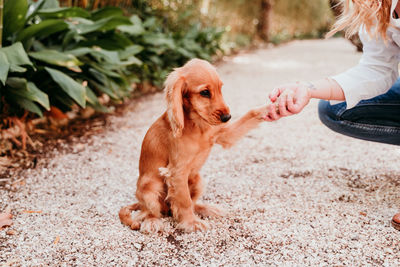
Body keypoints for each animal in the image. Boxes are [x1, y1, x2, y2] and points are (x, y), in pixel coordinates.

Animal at [119, 58, 268, 232]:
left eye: (220, 88)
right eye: (204, 92)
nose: (227, 117)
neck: (197, 126)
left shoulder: (224, 134)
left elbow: (250, 115)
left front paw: (270, 107)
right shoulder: (177, 171)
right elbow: (184, 201)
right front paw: (191, 223)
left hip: (197, 179)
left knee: (191, 204)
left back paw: (208, 209)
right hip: (150, 187)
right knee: (148, 212)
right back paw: (152, 222)